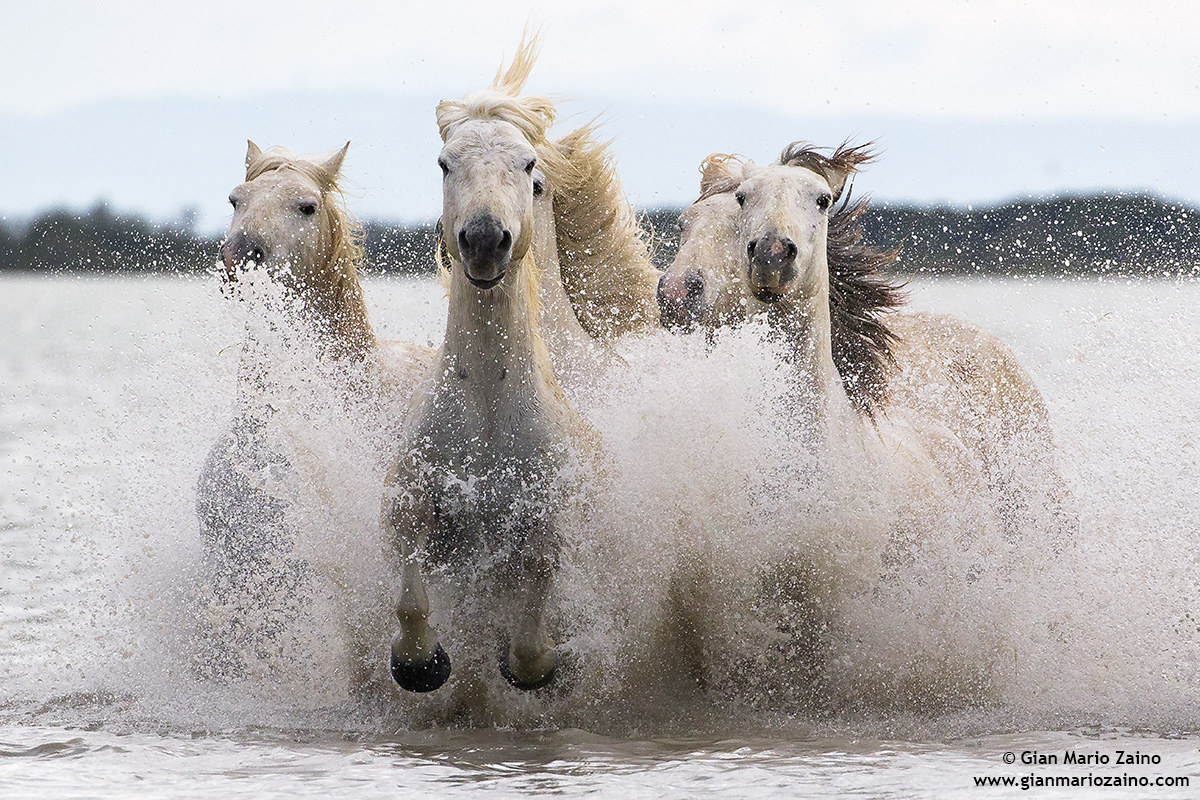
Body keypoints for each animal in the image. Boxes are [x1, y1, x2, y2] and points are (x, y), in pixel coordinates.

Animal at [383, 38, 606, 694]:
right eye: (443, 163)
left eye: (528, 166)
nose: (484, 239)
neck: (485, 401)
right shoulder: (409, 509)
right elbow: (410, 602)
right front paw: (424, 664)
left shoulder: (545, 534)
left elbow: (530, 646)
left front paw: (531, 661)